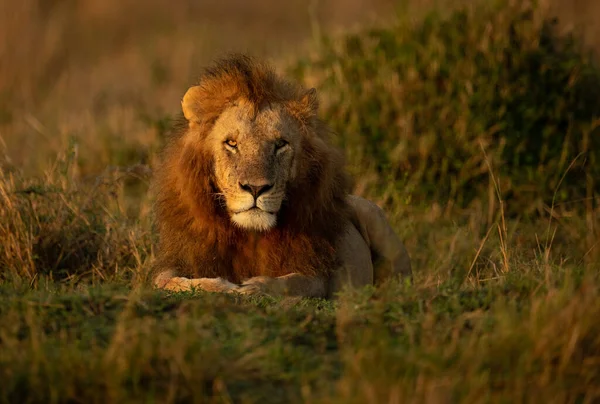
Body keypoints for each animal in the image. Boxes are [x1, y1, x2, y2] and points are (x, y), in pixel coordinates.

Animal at [150, 55, 412, 298]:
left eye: (280, 144)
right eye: (232, 143)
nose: (256, 188)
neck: (251, 235)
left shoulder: (318, 274)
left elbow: (290, 282)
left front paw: (250, 288)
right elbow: (164, 280)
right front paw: (216, 286)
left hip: (373, 215)